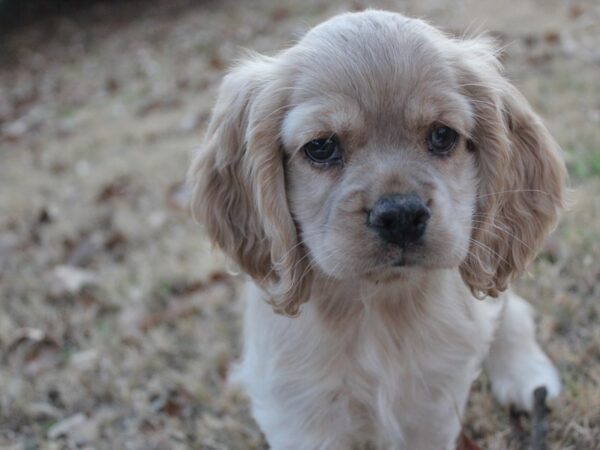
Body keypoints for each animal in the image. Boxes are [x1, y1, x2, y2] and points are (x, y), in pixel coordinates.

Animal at [189, 10, 568, 450]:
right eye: (321, 147)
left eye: (443, 135)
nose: (401, 215)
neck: (375, 306)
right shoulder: (301, 412)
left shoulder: (430, 406)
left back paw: (526, 375)